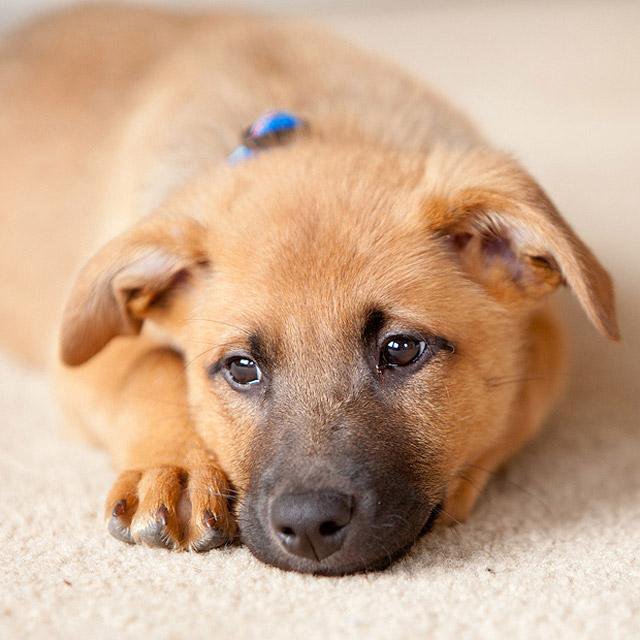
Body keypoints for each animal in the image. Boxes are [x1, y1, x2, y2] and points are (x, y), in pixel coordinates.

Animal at [1, 5, 620, 576]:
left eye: (402, 349)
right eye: (241, 367)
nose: (308, 526)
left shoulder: (544, 336)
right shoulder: (80, 358)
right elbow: (148, 369)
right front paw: (176, 471)